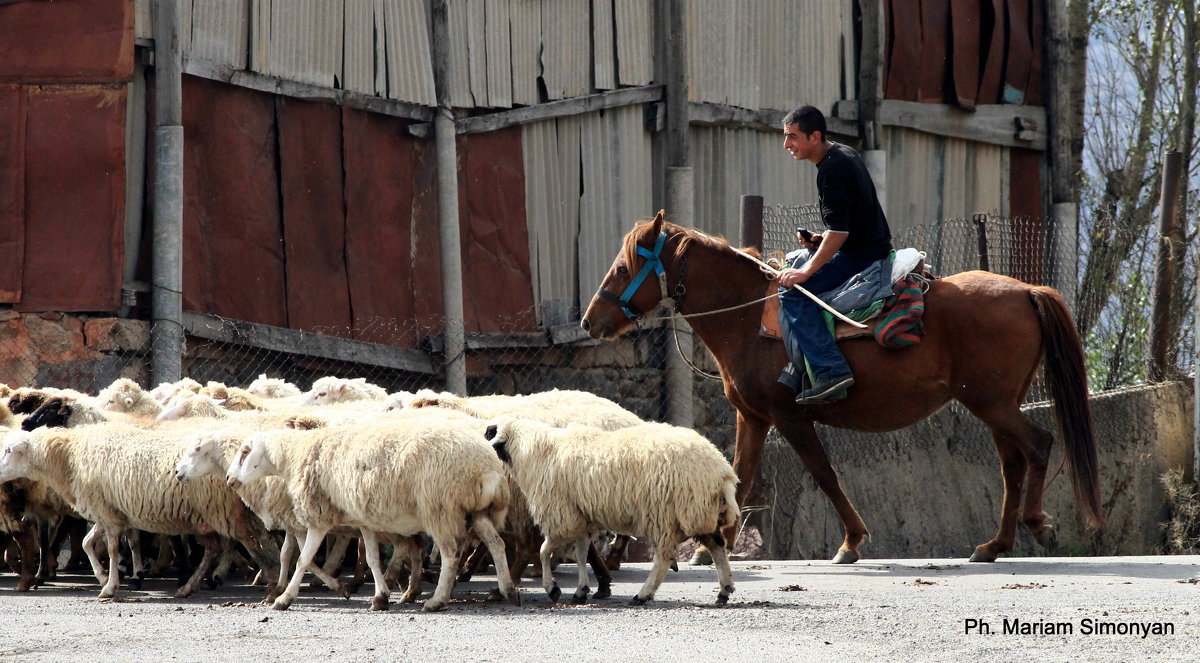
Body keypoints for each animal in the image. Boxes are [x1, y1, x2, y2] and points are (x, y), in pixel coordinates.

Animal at [0, 425, 279, 600]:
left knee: (253, 544)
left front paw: (110, 586)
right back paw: (189, 587)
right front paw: (102, 576)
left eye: (8, 450)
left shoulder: (107, 514)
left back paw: (271, 582)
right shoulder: (108, 510)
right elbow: (88, 542)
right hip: (208, 515)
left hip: (225, 510)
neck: (69, 457)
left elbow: (112, 550)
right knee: (216, 549)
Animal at [229, 417, 520, 614]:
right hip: (476, 511)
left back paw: (436, 601)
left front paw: (284, 599)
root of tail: (486, 466)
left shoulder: (320, 517)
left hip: (440, 508)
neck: (293, 457)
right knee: (496, 543)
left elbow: (303, 560)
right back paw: (508, 590)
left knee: (450, 554)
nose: (230, 480)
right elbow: (371, 559)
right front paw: (380, 597)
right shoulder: (363, 521)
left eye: (244, 452)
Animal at [487, 420, 739, 605]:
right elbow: (581, 554)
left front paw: (552, 588)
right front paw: (581, 590)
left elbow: (543, 551)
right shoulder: (581, 518)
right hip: (700, 513)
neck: (537, 452)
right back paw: (724, 591)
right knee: (717, 545)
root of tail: (721, 470)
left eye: (490, 433)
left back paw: (643, 595)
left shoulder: (562, 517)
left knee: (663, 559)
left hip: (669, 514)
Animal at [583, 210, 1104, 562]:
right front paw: (712, 548)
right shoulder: (752, 416)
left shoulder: (789, 415)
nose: (590, 321)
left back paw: (1036, 525)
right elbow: (741, 476)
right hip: (997, 404)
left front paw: (851, 541)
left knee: (1039, 445)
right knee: (1013, 464)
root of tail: (1026, 290)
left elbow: (823, 473)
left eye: (624, 269)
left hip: (992, 403)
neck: (748, 318)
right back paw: (995, 544)